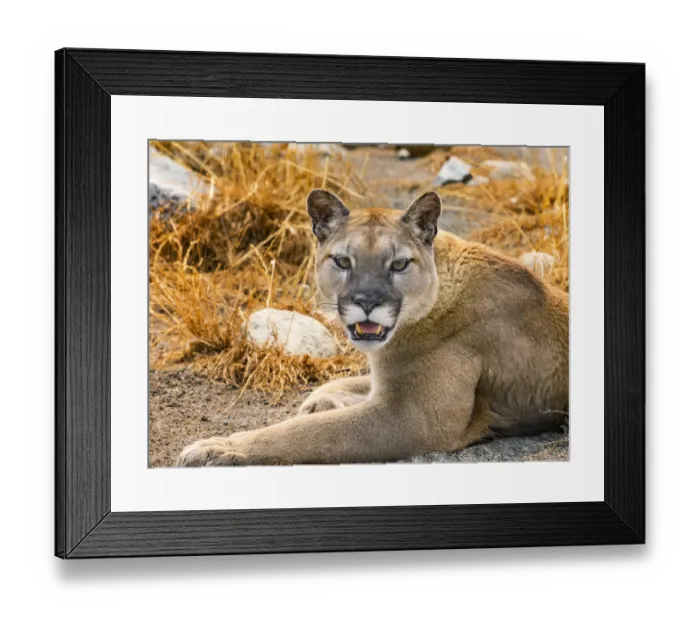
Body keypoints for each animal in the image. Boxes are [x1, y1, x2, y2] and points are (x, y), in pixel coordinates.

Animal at [177, 189, 569, 466]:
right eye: (342, 261)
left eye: (398, 264)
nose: (367, 302)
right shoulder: (389, 380)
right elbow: (344, 384)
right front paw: (320, 402)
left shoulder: (413, 419)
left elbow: (306, 433)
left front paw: (217, 447)